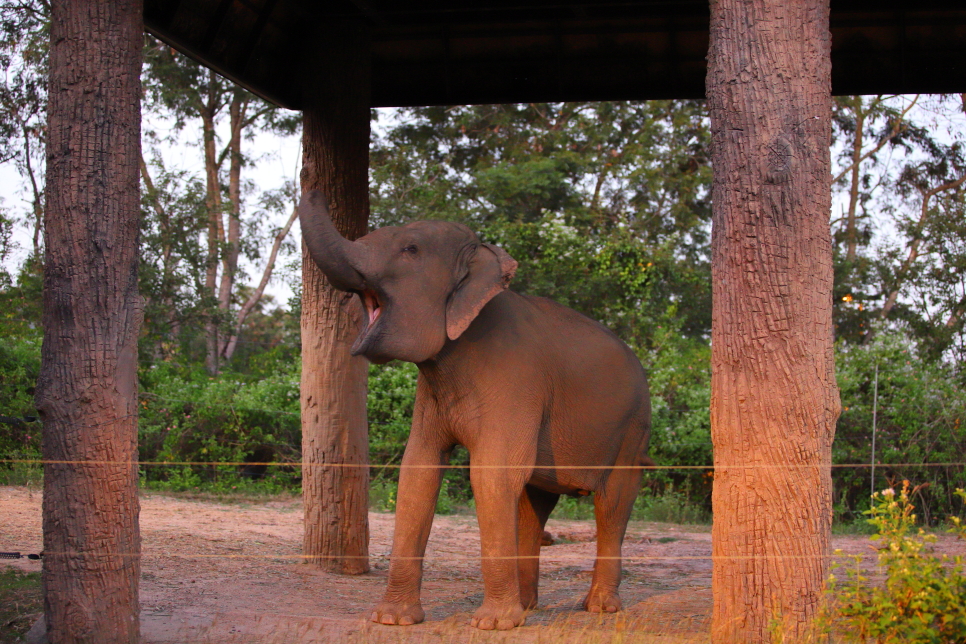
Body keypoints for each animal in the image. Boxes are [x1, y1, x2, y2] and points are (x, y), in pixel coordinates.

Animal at [298, 190, 656, 628]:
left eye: (410, 249)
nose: (312, 188)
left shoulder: (515, 380)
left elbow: (492, 473)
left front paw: (492, 624)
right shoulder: (432, 394)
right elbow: (418, 471)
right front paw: (392, 620)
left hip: (633, 431)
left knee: (612, 505)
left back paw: (599, 608)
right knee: (534, 505)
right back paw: (528, 607)